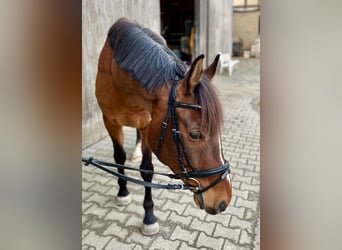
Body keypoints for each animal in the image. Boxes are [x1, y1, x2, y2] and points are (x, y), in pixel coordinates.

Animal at [95, 18, 231, 235]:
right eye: (195, 134)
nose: (223, 200)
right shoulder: (110, 121)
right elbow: (119, 157)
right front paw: (123, 192)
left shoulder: (149, 124)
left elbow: (147, 170)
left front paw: (149, 217)